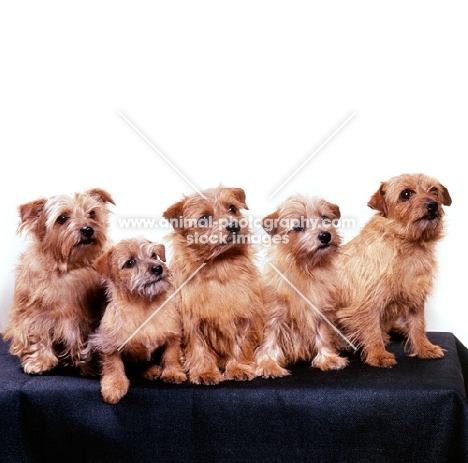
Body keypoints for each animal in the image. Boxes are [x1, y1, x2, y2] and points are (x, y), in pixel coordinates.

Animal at [3, 189, 114, 376]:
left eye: (92, 213)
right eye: (62, 218)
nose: (87, 229)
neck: (69, 267)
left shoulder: (89, 320)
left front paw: (90, 365)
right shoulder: (34, 313)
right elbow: (38, 334)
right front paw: (40, 361)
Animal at [91, 237, 186, 404]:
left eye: (153, 255)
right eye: (130, 263)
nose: (157, 268)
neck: (144, 307)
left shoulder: (173, 336)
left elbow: (171, 355)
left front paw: (173, 372)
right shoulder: (110, 345)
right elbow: (113, 365)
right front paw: (114, 386)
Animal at [162, 187, 264, 386]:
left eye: (232, 208)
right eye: (204, 218)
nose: (234, 226)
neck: (219, 267)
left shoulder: (243, 316)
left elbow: (240, 344)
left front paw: (239, 368)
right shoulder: (191, 321)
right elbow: (199, 348)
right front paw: (205, 372)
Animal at [256, 194, 348, 378]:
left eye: (325, 218)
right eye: (298, 226)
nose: (325, 235)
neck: (305, 270)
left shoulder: (320, 312)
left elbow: (323, 336)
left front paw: (328, 358)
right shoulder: (273, 316)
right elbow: (269, 339)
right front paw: (269, 364)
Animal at [338, 172, 452, 368]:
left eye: (434, 190)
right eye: (406, 194)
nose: (433, 204)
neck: (408, 245)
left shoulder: (416, 297)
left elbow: (418, 325)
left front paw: (424, 348)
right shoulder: (369, 301)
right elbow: (372, 328)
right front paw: (378, 354)